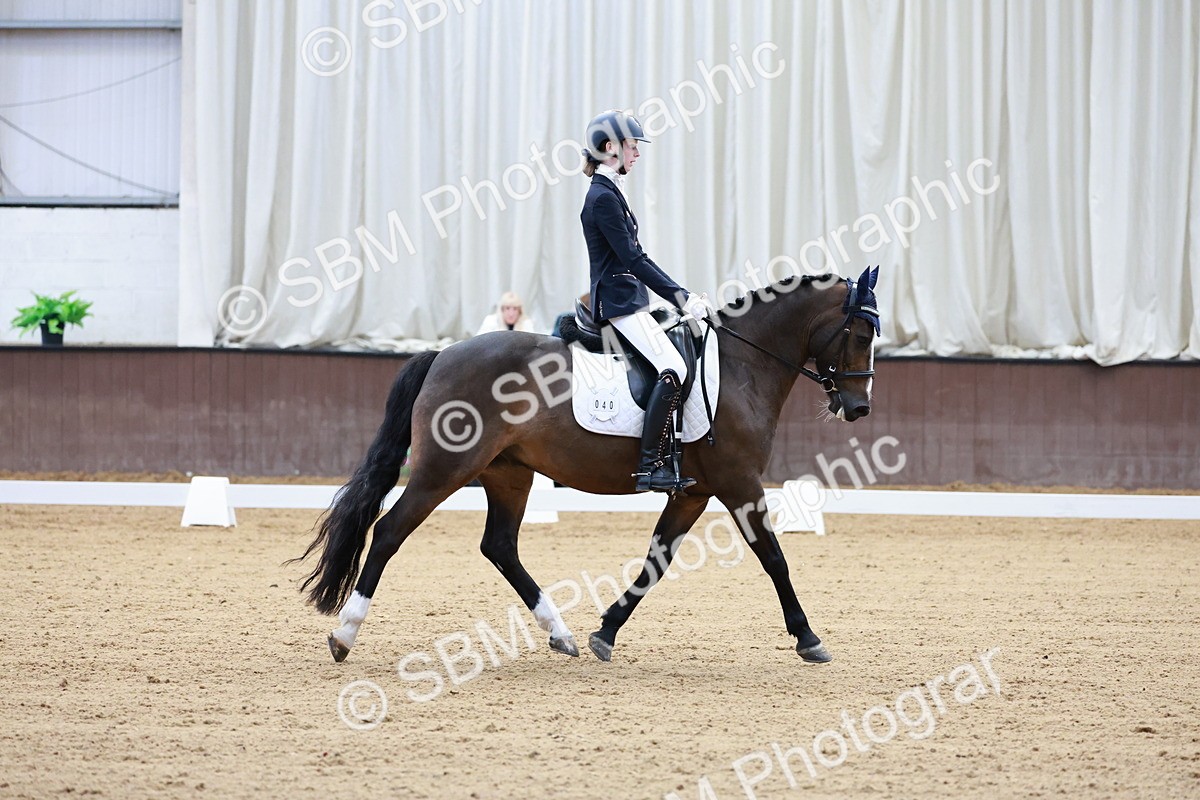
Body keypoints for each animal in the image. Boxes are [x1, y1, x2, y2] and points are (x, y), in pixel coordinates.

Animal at [294, 266, 880, 665]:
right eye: (860, 333)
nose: (858, 408)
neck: (742, 366)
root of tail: (442, 354)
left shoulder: (692, 491)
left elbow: (656, 562)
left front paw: (606, 632)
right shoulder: (739, 483)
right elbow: (774, 558)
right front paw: (808, 638)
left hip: (508, 473)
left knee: (499, 546)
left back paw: (562, 633)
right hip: (446, 468)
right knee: (390, 530)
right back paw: (344, 635)